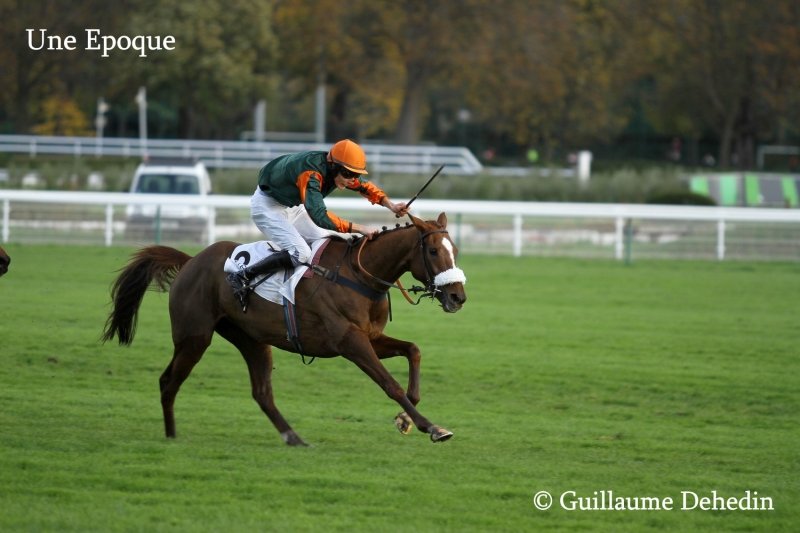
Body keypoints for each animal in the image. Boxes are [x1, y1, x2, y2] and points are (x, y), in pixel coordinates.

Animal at [102, 213, 467, 446]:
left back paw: (293, 437)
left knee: (262, 392)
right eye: (433, 250)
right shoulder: (350, 341)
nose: (457, 296)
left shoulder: (371, 337)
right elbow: (389, 383)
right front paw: (431, 427)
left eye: (455, 251)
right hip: (194, 336)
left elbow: (413, 351)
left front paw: (406, 419)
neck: (358, 275)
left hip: (251, 340)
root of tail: (191, 260)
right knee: (168, 381)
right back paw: (171, 435)